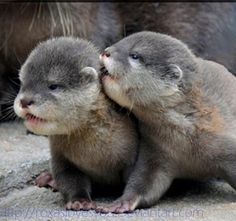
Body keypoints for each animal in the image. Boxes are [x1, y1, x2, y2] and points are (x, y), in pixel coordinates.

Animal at [13, 37, 138, 211]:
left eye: (53, 86)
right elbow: (69, 179)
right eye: (22, 82)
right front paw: (80, 200)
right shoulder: (61, 157)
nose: (24, 101)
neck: (94, 153)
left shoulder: (132, 154)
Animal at [98, 30, 236, 212]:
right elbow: (144, 183)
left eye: (135, 55)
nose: (106, 51)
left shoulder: (222, 139)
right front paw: (121, 202)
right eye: (120, 41)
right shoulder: (155, 152)